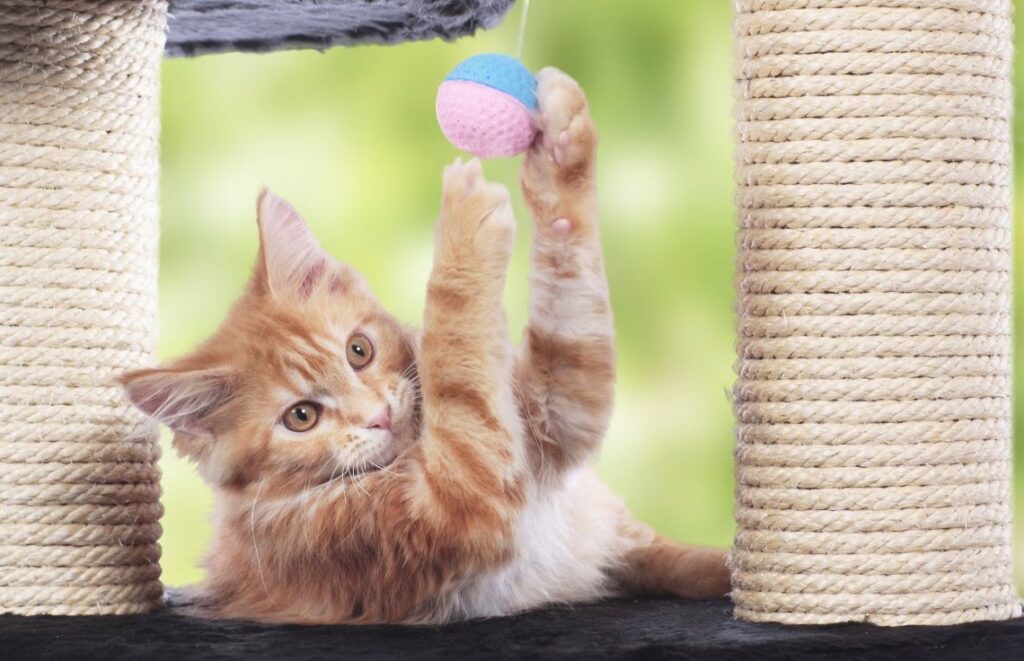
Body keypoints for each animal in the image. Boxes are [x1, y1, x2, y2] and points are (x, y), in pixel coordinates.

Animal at [121, 70, 729, 626]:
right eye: (301, 416)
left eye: (359, 351)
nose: (378, 416)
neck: (417, 445)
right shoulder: (448, 509)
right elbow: (455, 350)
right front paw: (461, 224)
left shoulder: (553, 409)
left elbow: (568, 290)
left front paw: (560, 146)